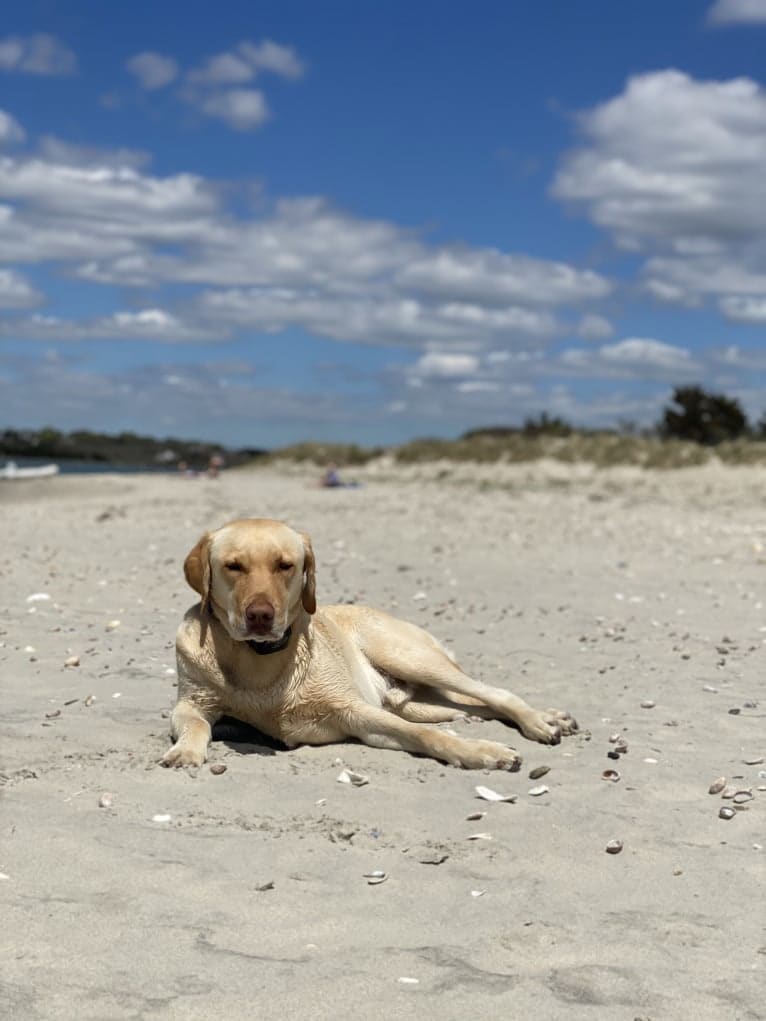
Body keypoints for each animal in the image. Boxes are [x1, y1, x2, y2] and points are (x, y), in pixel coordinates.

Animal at [163, 522, 580, 767]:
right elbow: (194, 724)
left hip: (408, 656)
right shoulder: (191, 703)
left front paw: (481, 752)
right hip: (416, 701)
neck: (258, 660)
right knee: (470, 706)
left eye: (285, 565)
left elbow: (425, 736)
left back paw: (539, 722)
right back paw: (550, 717)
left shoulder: (355, 711)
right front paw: (186, 751)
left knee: (493, 693)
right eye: (233, 566)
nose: (260, 616)